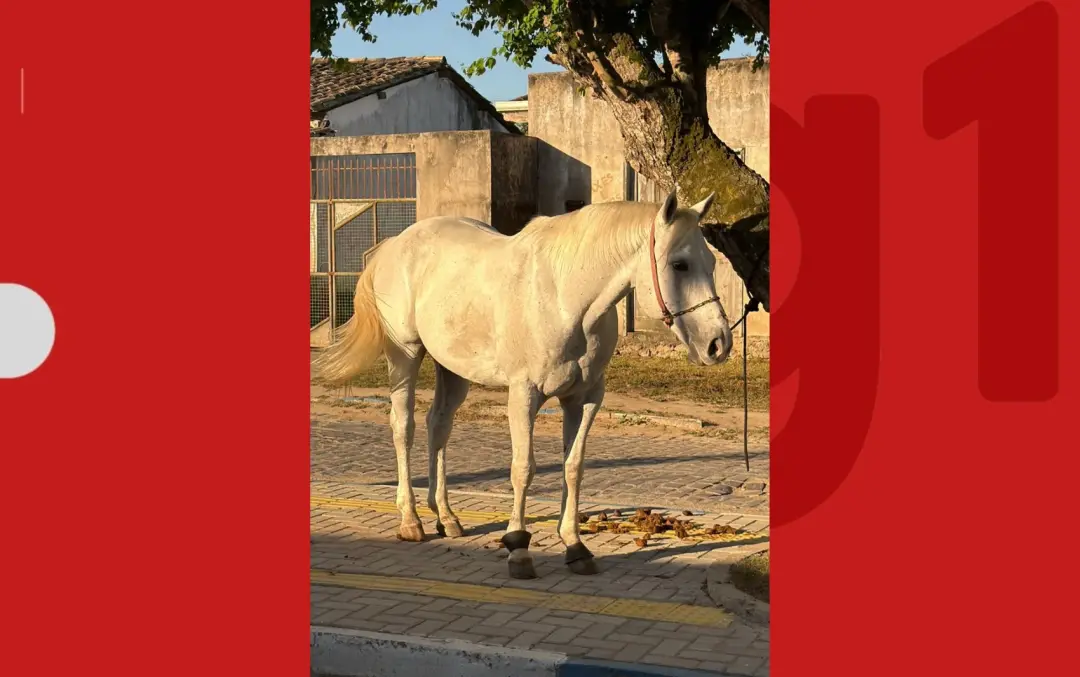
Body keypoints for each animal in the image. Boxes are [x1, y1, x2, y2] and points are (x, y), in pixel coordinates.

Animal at [315, 191, 732, 579]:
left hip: (453, 369)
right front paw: (518, 547)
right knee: (404, 427)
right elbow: (523, 468)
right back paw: (411, 521)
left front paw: (575, 546)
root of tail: (394, 245)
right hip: (404, 356)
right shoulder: (524, 395)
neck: (565, 298)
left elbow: (573, 466)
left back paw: (446, 517)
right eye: (679, 264)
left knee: (438, 426)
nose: (719, 344)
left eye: (711, 262)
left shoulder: (584, 398)